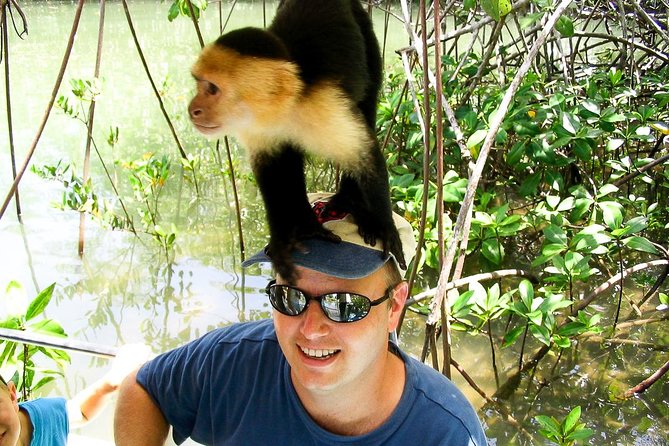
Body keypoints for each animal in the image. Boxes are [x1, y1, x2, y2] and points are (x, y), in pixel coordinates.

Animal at [189, 0, 408, 280]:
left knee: (366, 103)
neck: (286, 106)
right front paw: (282, 239)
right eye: (199, 84)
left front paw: (384, 227)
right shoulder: (256, 127)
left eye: (212, 89)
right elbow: (270, 171)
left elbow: (364, 154)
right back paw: (306, 224)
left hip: (365, 29)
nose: (192, 109)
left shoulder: (325, 103)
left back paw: (351, 202)